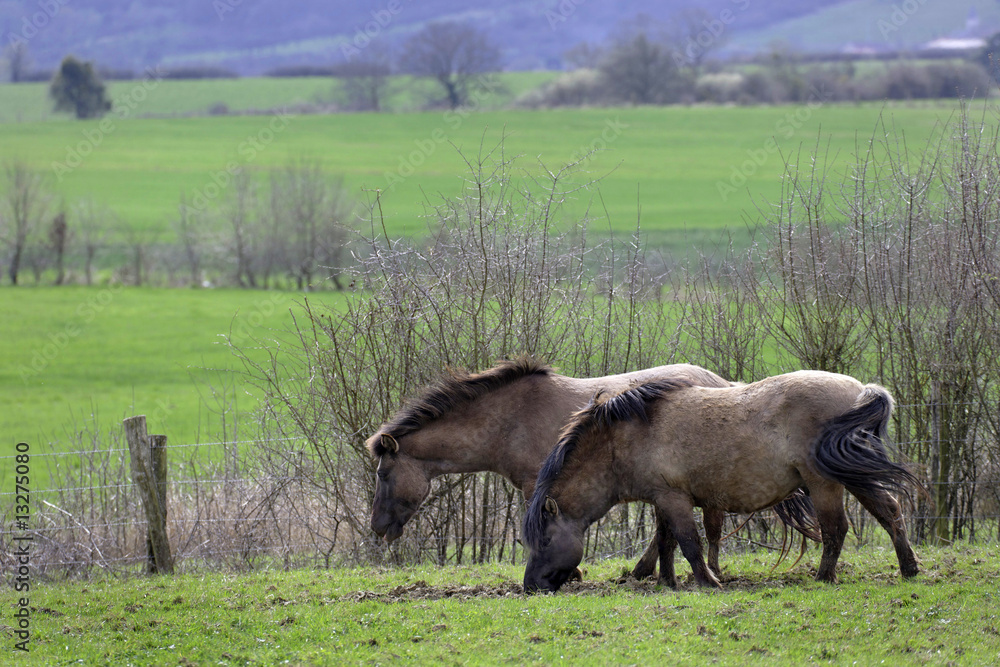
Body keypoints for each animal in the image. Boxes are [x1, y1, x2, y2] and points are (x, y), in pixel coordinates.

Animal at [366, 357, 776, 581]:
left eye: (383, 475)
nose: (378, 528)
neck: (508, 420)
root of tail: (722, 382)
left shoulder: (536, 486)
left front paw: (570, 572)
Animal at [522, 371, 921, 593]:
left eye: (544, 539)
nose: (530, 587)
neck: (624, 437)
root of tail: (861, 390)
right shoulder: (662, 499)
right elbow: (666, 543)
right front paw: (666, 583)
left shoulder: (674, 499)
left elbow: (689, 543)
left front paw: (707, 582)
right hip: (854, 478)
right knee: (889, 512)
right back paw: (909, 569)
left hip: (825, 484)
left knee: (836, 529)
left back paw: (824, 578)